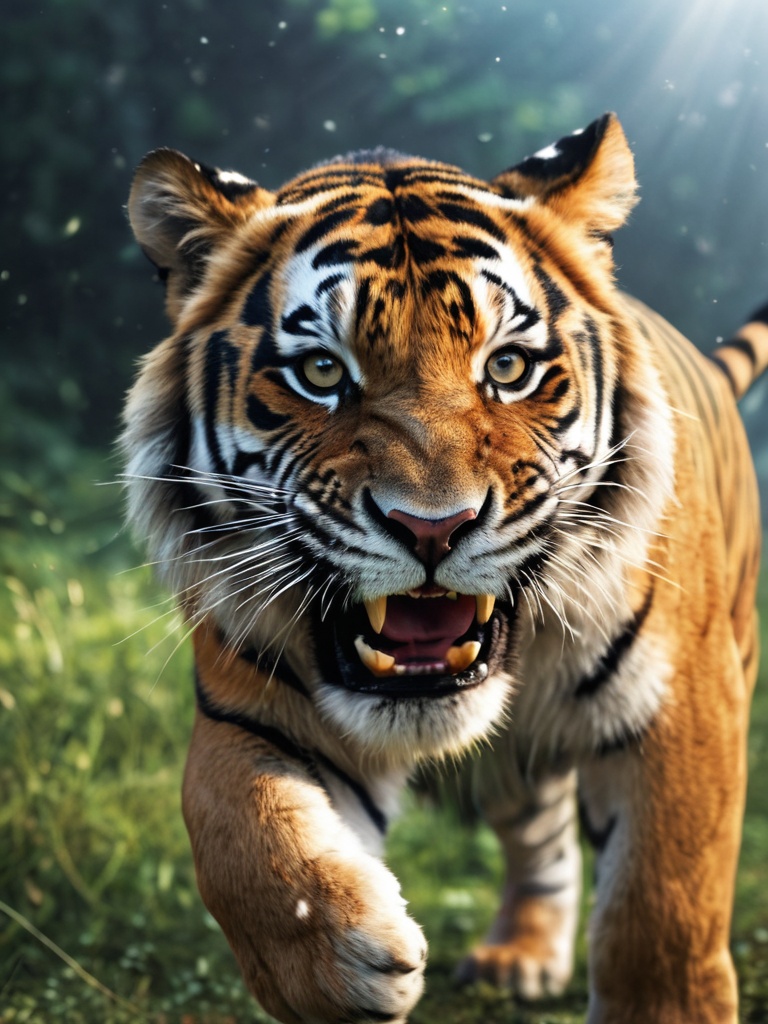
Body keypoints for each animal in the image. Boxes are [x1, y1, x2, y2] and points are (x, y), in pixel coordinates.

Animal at [122, 112, 768, 1024]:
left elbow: (664, 908)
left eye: (507, 368)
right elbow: (231, 826)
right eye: (321, 371)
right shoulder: (246, 707)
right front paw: (339, 963)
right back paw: (517, 955)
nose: (433, 527)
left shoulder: (684, 703)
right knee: (540, 832)